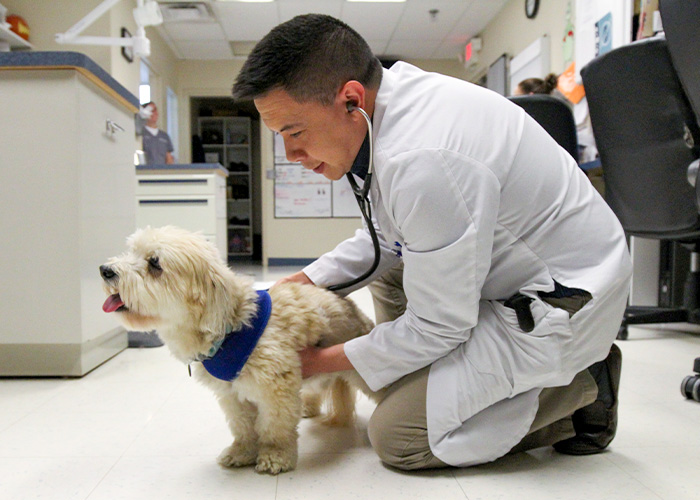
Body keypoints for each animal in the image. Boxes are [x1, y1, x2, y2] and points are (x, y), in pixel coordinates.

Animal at [100, 227, 378, 472]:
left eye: (154, 263)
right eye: (132, 251)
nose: (105, 270)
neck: (229, 329)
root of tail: (353, 307)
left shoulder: (277, 389)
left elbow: (275, 427)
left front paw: (275, 456)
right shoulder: (231, 394)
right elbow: (243, 426)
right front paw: (242, 451)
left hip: (359, 372)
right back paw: (309, 406)